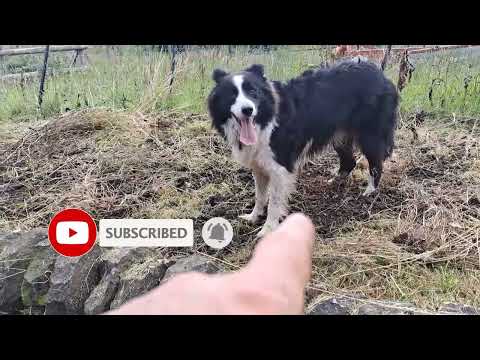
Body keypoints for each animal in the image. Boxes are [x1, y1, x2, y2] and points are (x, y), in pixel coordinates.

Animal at [208, 60, 400, 238]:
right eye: (232, 95)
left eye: (253, 92)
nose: (248, 110)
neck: (264, 119)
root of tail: (381, 74)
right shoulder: (258, 163)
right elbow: (260, 195)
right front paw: (253, 217)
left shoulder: (280, 166)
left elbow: (274, 202)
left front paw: (268, 230)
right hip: (339, 135)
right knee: (349, 161)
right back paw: (335, 182)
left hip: (370, 134)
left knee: (376, 163)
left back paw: (369, 193)